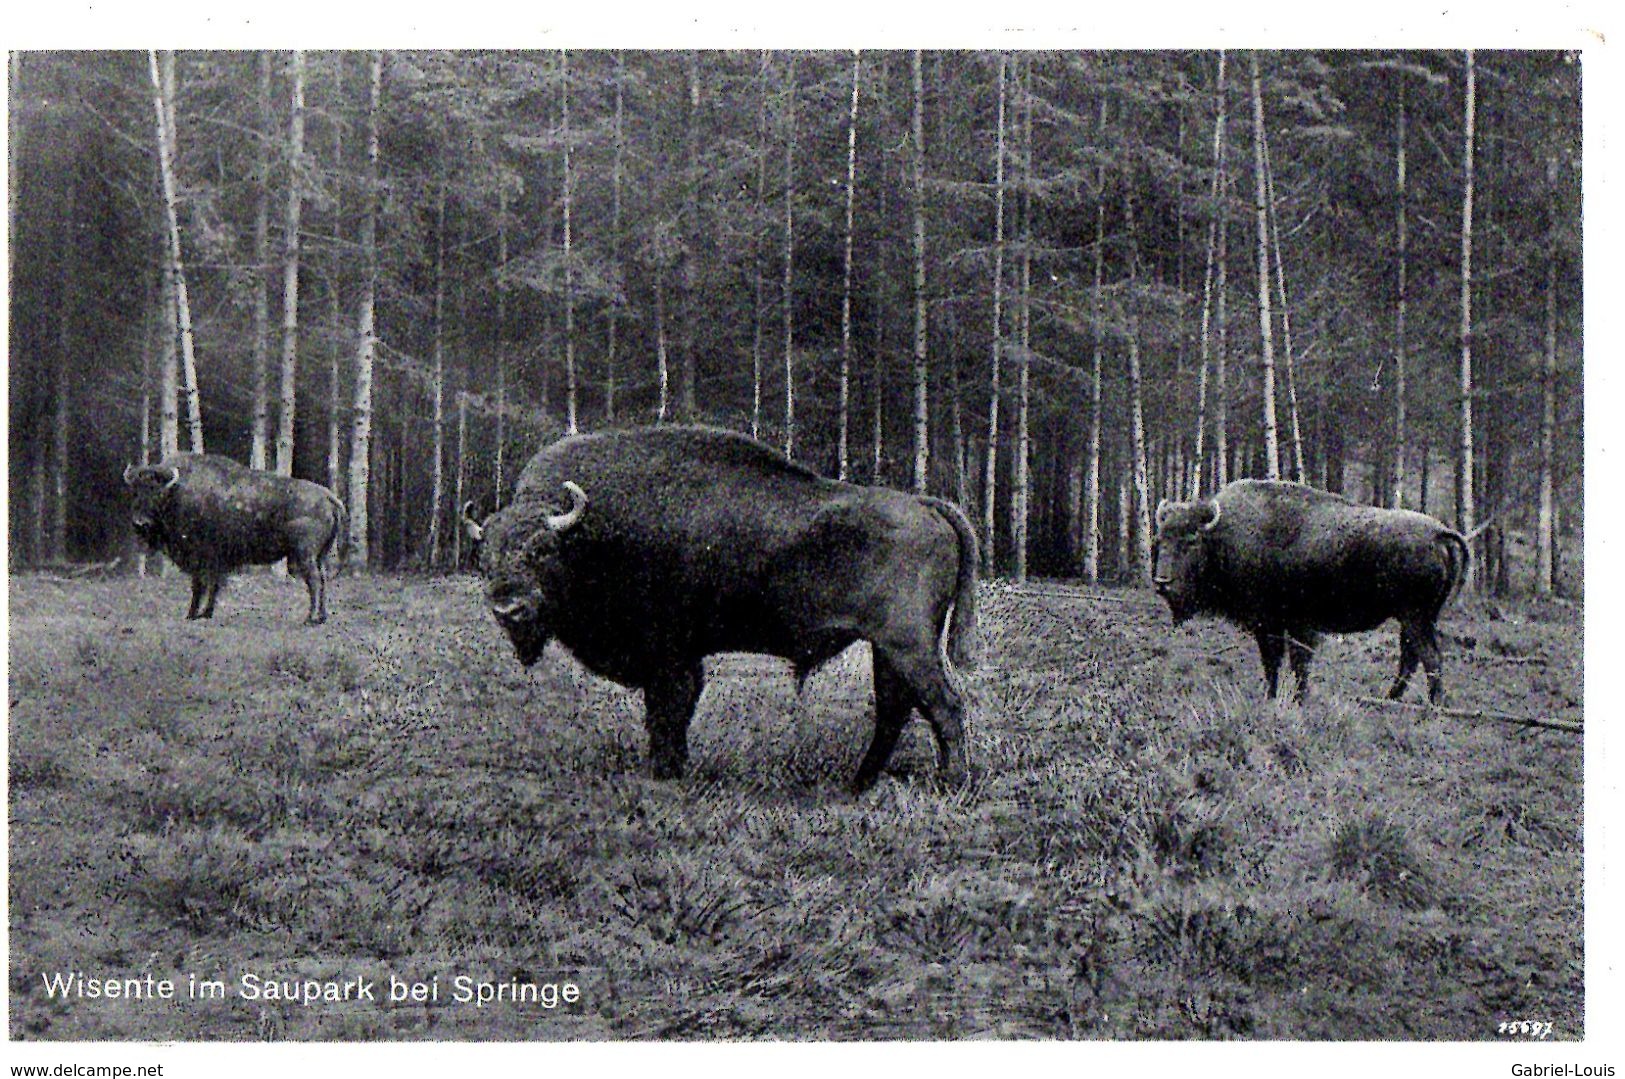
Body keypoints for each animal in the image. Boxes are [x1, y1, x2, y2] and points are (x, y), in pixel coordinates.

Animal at [123, 451, 346, 624]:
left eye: (158, 493)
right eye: (135, 491)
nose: (140, 523)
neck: (177, 491)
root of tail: (328, 496)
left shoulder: (201, 555)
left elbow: (200, 585)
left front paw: (192, 614)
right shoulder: (215, 559)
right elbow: (212, 586)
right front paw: (205, 613)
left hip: (304, 554)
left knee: (314, 581)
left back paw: (309, 618)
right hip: (320, 555)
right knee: (323, 579)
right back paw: (321, 617)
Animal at [464, 422, 981, 793]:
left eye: (541, 550)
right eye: (484, 557)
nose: (509, 608)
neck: (590, 534)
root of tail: (925, 504)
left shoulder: (668, 656)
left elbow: (667, 712)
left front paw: (665, 773)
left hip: (907, 644)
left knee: (944, 705)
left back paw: (951, 784)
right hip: (887, 648)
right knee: (897, 709)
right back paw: (857, 784)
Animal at [1157, 481, 1475, 705]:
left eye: (1191, 541)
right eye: (1161, 539)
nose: (1162, 581)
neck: (1223, 536)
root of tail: (1438, 532)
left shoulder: (1276, 623)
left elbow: (1284, 662)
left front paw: (1285, 699)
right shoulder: (1284, 625)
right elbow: (1285, 662)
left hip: (1414, 617)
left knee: (1429, 658)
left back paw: (1430, 707)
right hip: (1415, 619)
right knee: (1412, 658)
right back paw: (1390, 700)